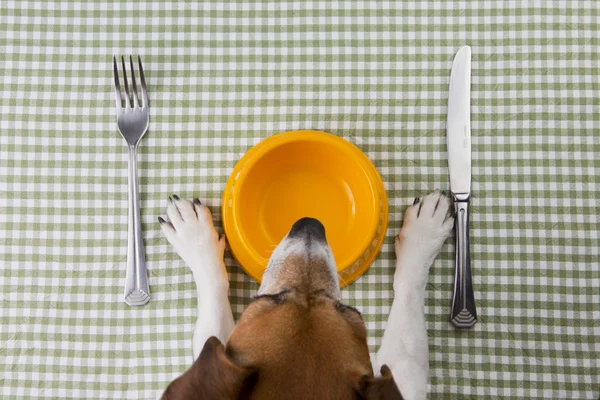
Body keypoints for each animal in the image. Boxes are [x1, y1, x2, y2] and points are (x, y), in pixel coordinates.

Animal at [157, 189, 452, 398]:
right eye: (272, 297)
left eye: (347, 309)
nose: (309, 223)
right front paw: (194, 234)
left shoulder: (406, 377)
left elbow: (407, 301)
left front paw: (424, 234)